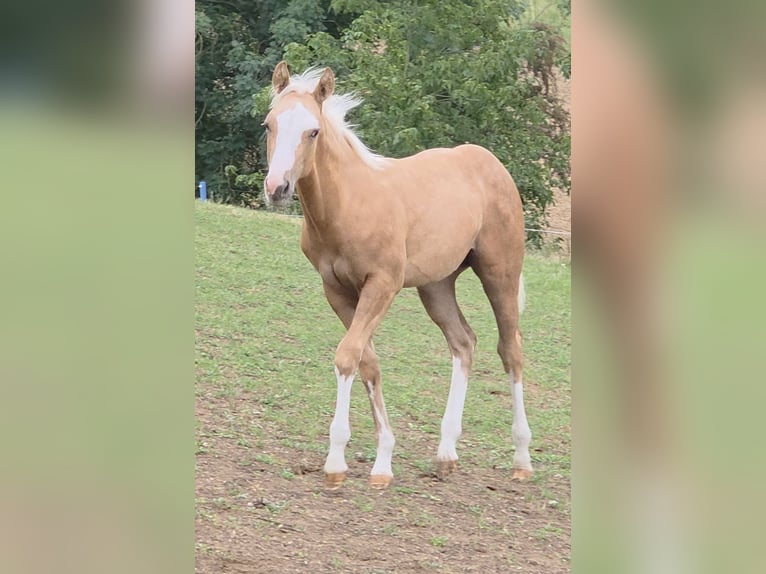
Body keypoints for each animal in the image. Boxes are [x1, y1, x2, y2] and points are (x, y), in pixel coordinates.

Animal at [262, 61, 531, 490]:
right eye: (268, 125)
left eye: (313, 131)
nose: (277, 188)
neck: (348, 205)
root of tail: (492, 163)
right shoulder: (336, 290)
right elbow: (367, 361)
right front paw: (382, 462)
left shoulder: (382, 284)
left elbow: (347, 356)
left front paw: (335, 463)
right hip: (436, 285)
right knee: (463, 342)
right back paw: (446, 454)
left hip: (500, 272)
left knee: (510, 349)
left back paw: (522, 457)